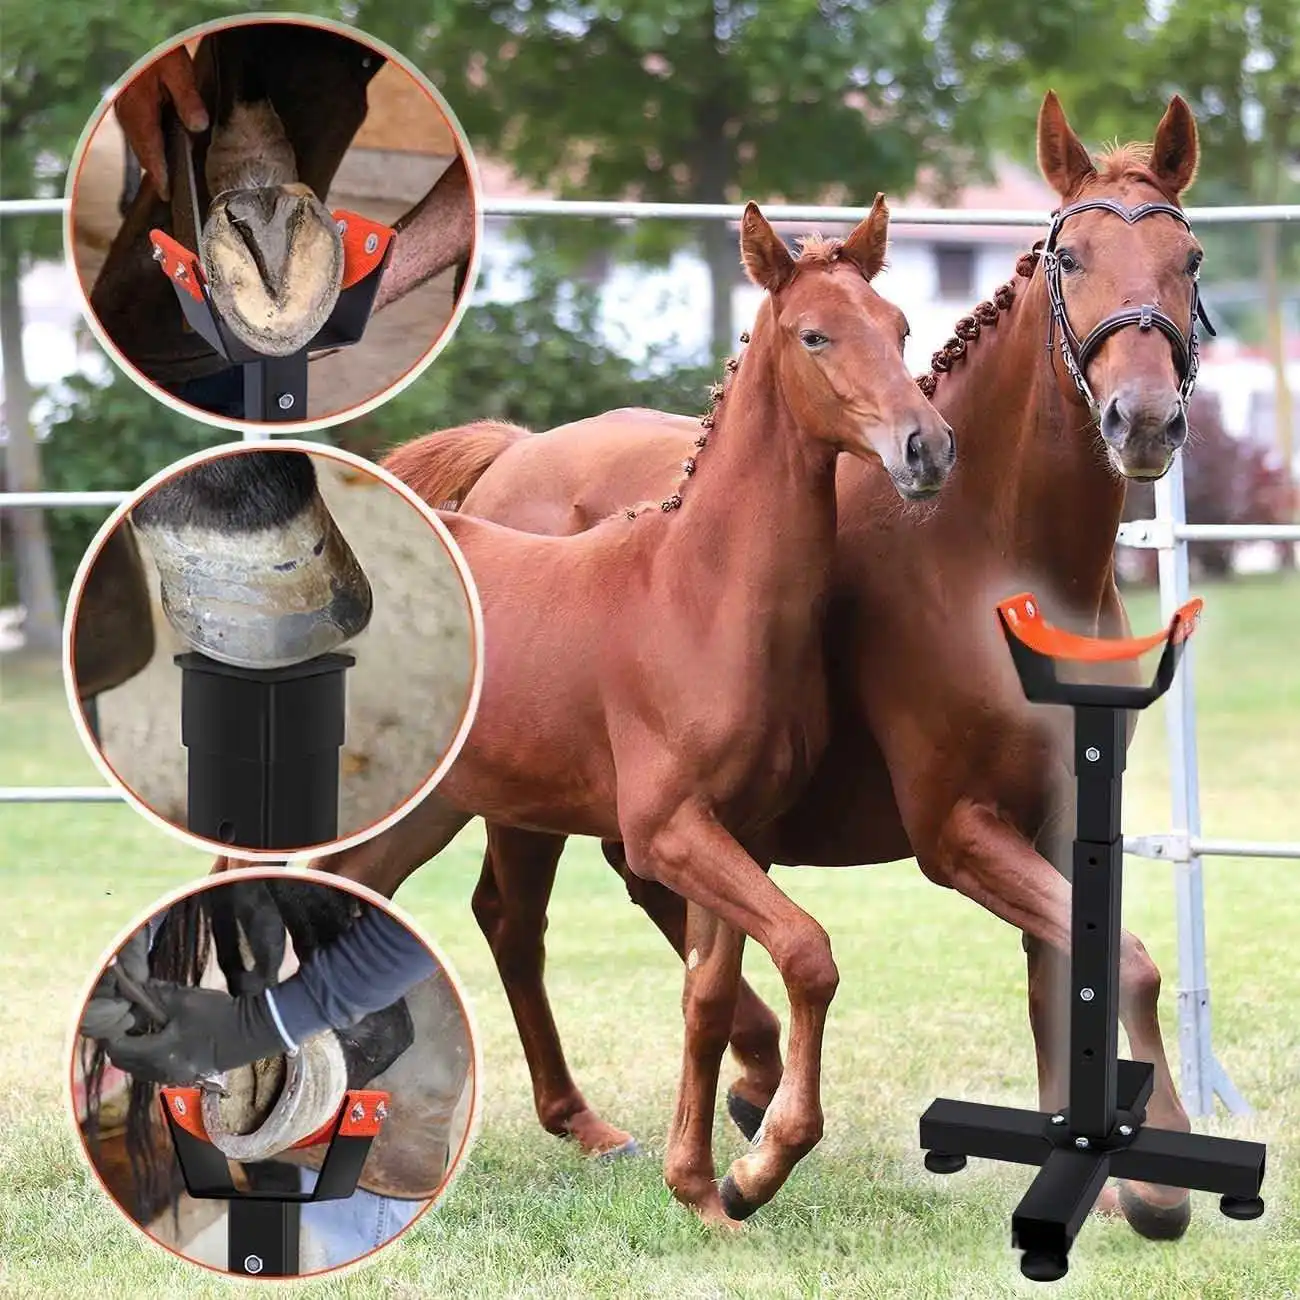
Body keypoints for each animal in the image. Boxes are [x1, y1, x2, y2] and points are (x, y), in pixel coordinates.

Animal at [294, 91, 1210, 1238]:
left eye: (1189, 256)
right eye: (1071, 256)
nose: (1145, 420)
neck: (992, 559)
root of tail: (512, 451)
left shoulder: (1055, 816)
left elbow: (1074, 974)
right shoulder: (956, 830)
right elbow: (1118, 964)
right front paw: (1154, 1184)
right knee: (507, 917)